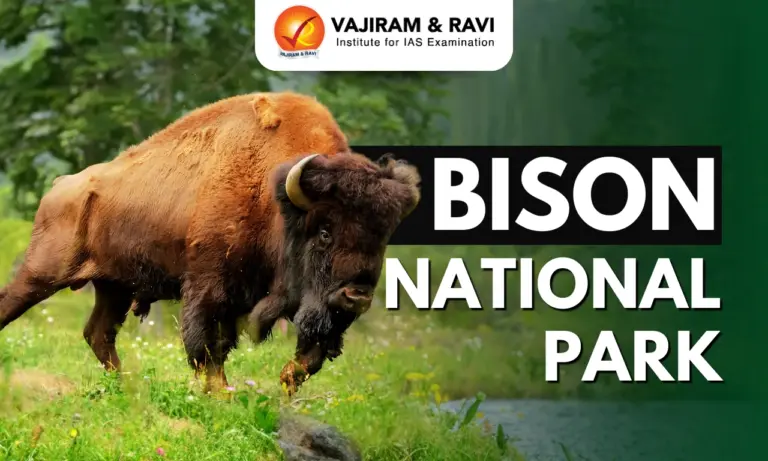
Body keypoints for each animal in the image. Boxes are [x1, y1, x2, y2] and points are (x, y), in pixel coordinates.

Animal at [0, 92, 420, 394]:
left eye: (382, 237)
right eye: (324, 231)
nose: (357, 295)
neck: (274, 198)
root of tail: (60, 185)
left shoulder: (312, 309)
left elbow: (307, 358)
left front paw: (284, 385)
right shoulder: (210, 289)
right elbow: (209, 346)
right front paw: (220, 395)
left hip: (114, 286)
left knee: (99, 333)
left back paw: (126, 386)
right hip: (42, 272)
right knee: (14, 304)